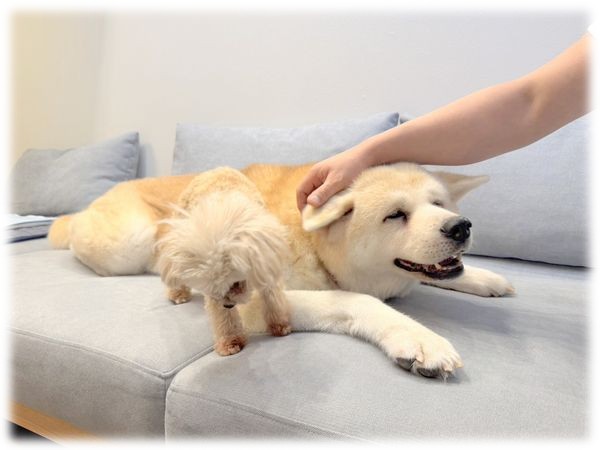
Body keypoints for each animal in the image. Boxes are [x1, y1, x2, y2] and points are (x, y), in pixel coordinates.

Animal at [48, 162, 514, 379]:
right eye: (395, 215)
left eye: (439, 204)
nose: (461, 226)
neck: (317, 246)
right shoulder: (252, 299)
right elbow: (360, 301)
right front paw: (418, 338)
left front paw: (487, 278)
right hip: (131, 240)